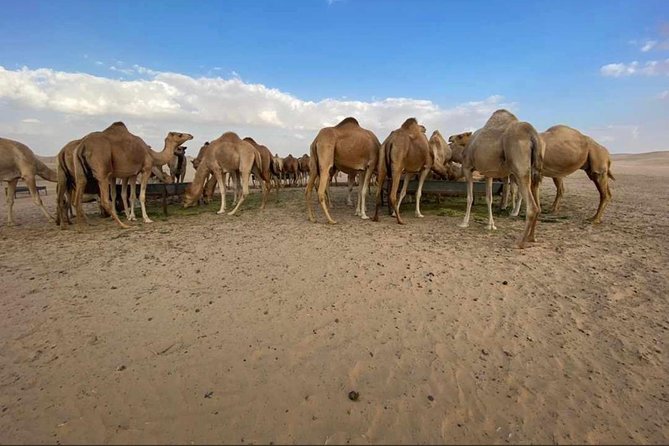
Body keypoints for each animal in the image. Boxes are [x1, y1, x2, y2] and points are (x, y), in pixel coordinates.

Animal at [453, 110, 544, 248]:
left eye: (460, 136)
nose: (450, 138)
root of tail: (532, 134)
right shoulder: (488, 173)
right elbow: (489, 198)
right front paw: (491, 225)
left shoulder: (467, 168)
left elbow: (469, 197)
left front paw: (464, 222)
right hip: (535, 171)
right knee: (538, 205)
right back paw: (531, 238)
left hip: (520, 169)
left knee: (532, 207)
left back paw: (520, 242)